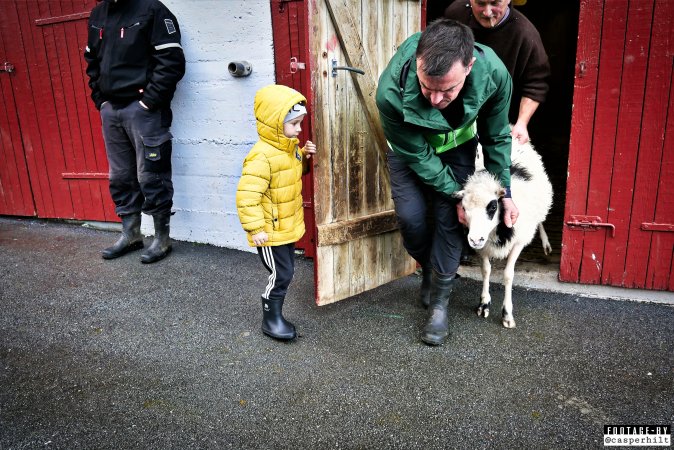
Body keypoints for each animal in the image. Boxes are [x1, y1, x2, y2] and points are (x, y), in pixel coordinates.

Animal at [454, 139, 552, 328]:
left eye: (493, 206)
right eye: (463, 207)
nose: (475, 239)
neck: (495, 231)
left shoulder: (518, 242)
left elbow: (508, 275)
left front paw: (507, 314)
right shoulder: (482, 247)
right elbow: (486, 270)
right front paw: (484, 303)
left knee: (540, 219)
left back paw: (546, 243)